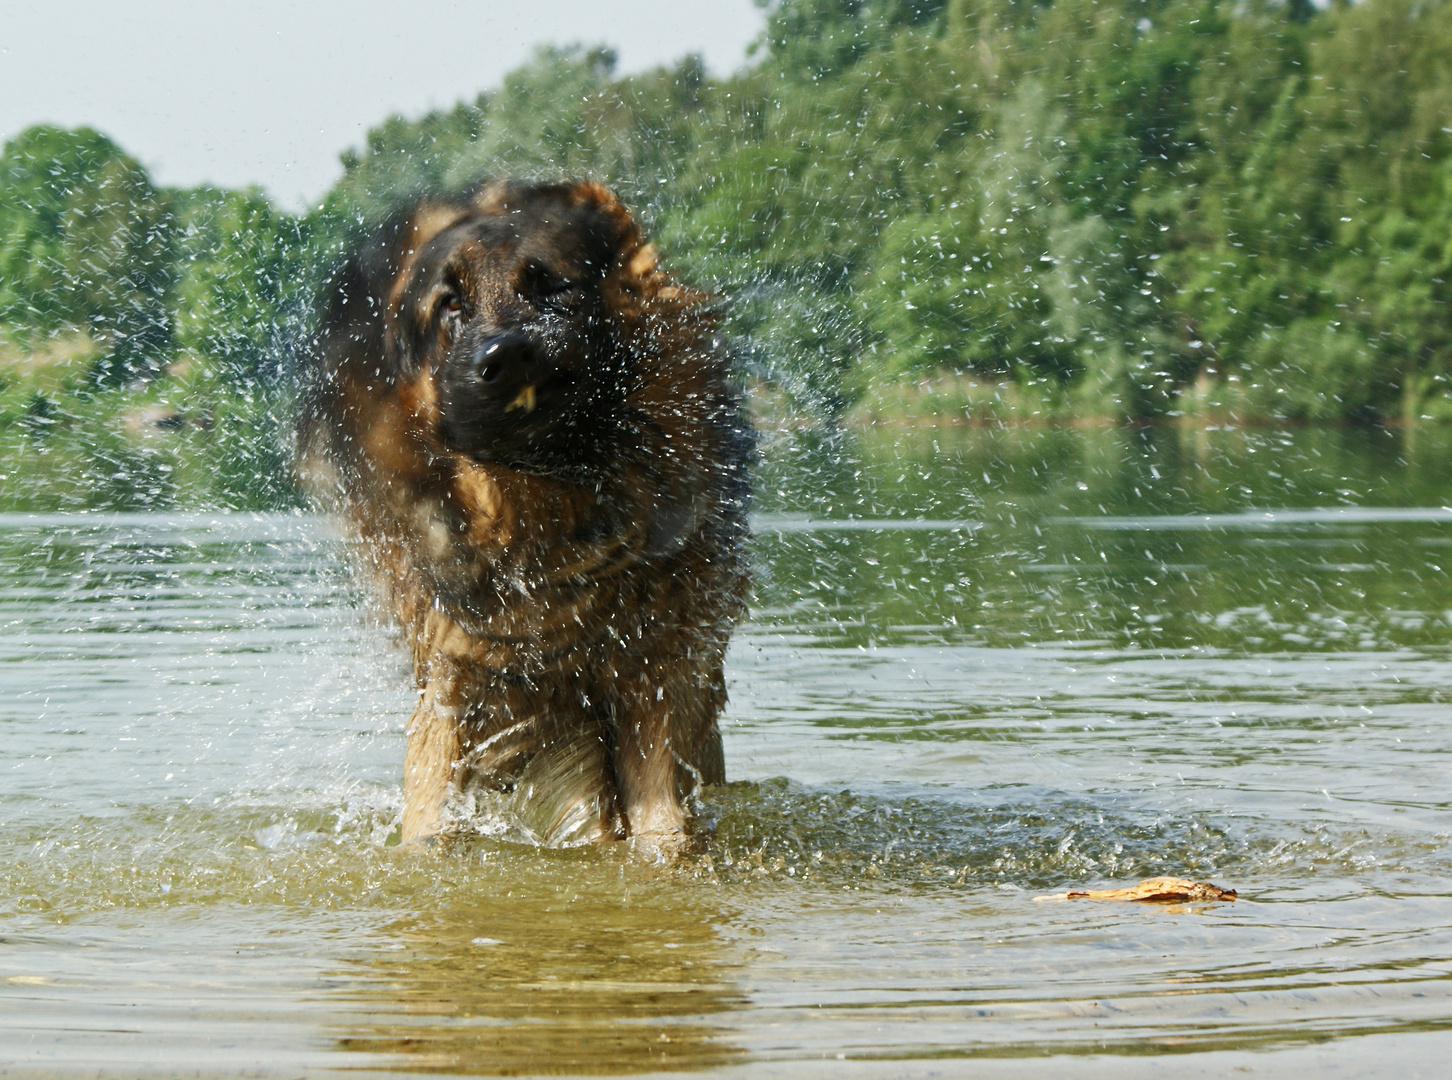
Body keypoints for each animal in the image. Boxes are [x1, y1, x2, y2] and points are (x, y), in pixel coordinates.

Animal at [294, 181, 749, 847]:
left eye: (550, 286)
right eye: (449, 305)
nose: (508, 357)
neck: (549, 529)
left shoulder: (655, 677)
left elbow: (662, 827)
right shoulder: (455, 681)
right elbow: (427, 821)